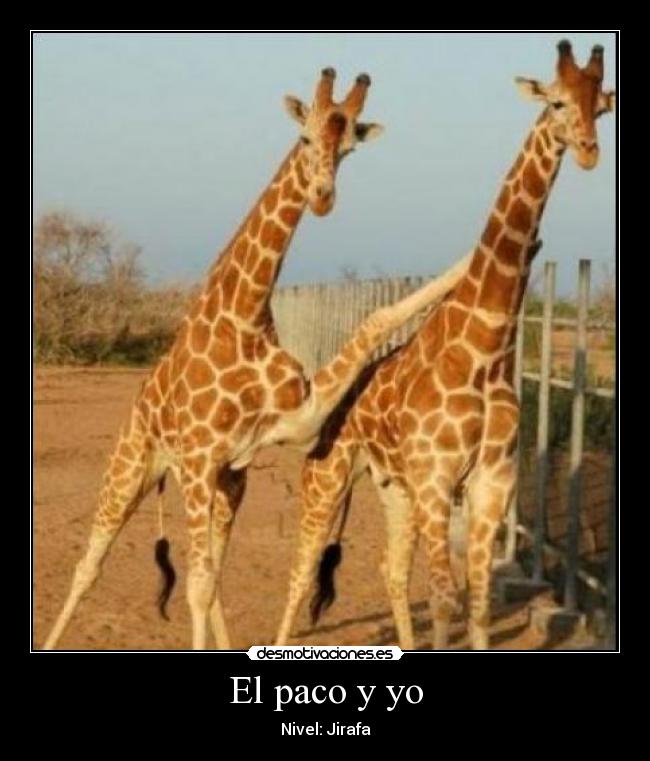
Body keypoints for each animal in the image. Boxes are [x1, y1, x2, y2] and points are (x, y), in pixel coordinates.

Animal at [42, 68, 472, 651]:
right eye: (306, 138)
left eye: (349, 149)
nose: (322, 197)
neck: (243, 312)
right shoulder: (200, 456)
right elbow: (194, 586)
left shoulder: (287, 425)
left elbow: (374, 322)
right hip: (133, 465)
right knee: (92, 565)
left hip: (229, 483)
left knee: (213, 575)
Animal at [275, 40, 616, 651]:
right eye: (555, 101)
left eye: (600, 107)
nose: (588, 152)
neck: (483, 346)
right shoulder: (437, 479)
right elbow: (443, 598)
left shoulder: (488, 482)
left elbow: (475, 605)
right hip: (330, 472)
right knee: (301, 568)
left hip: (393, 486)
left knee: (389, 568)